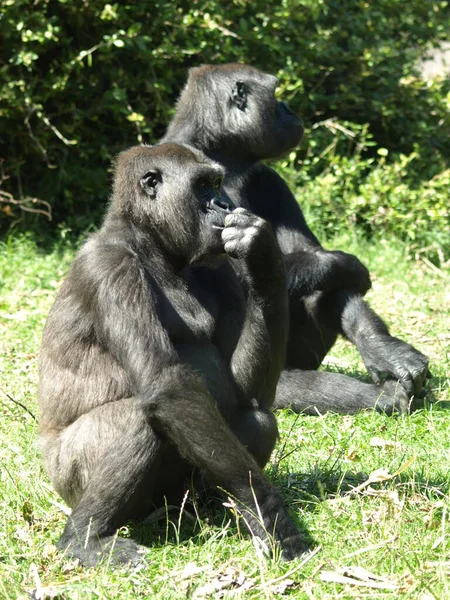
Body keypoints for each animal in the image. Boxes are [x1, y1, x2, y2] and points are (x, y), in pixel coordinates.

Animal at [37, 143, 310, 564]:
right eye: (202, 186)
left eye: (216, 183)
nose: (224, 203)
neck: (149, 240)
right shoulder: (110, 268)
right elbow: (167, 385)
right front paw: (271, 515)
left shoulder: (218, 266)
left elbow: (241, 392)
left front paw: (263, 258)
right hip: (65, 477)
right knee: (136, 418)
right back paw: (83, 537)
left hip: (178, 498)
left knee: (256, 419)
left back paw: (215, 506)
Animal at [163, 63, 430, 414]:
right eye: (276, 94)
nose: (290, 107)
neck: (222, 155)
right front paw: (347, 263)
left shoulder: (270, 179)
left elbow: (311, 256)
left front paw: (383, 348)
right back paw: (380, 396)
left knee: (321, 288)